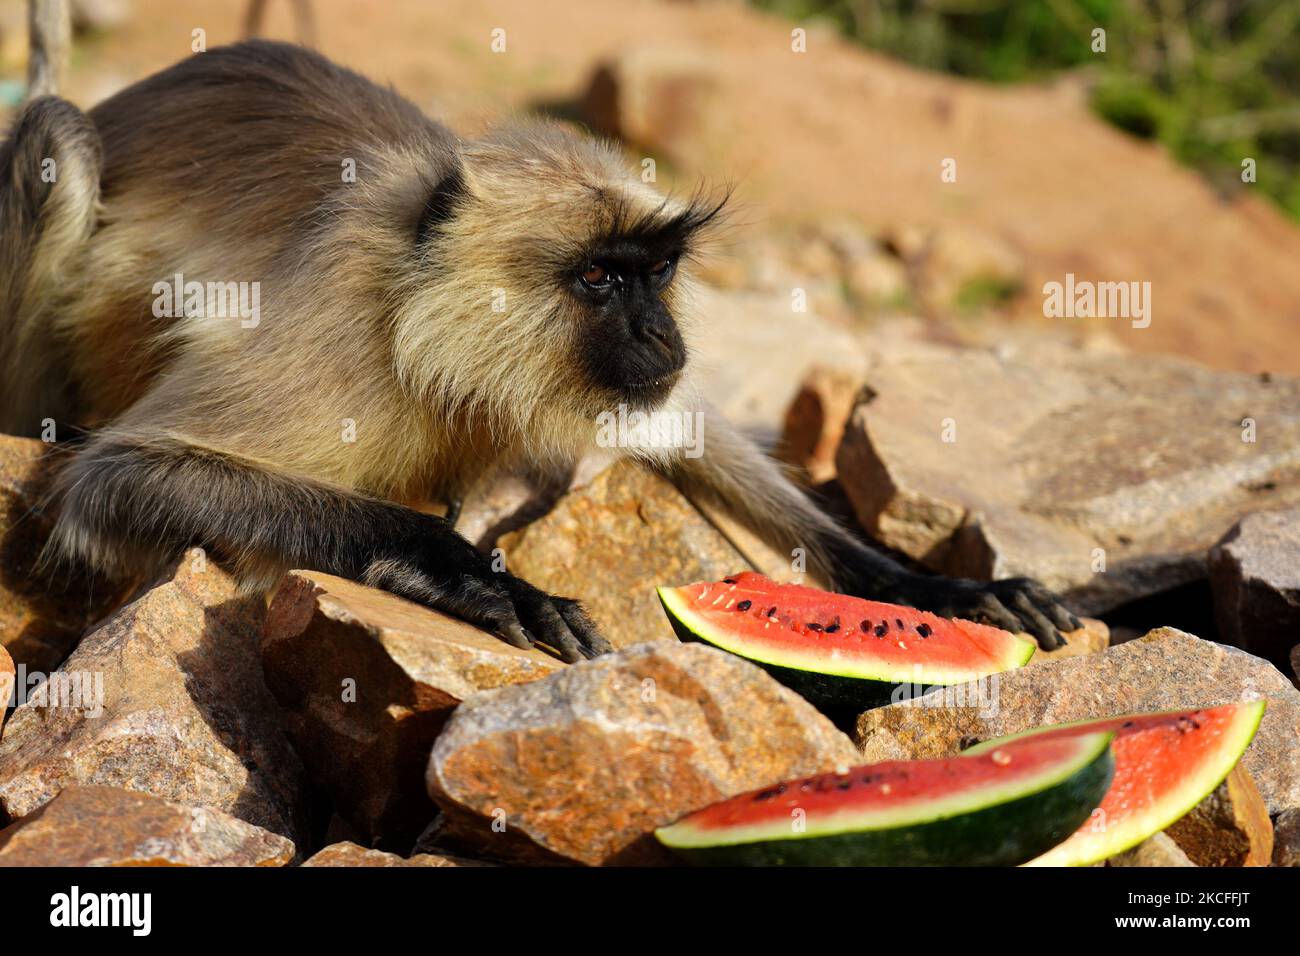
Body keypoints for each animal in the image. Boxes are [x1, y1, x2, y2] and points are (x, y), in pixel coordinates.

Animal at [0, 39, 1076, 665]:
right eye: (598, 280)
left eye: (655, 272)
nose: (661, 333)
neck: (426, 319)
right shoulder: (339, 337)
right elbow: (116, 475)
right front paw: (476, 577)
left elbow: (692, 428)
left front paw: (939, 589)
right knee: (58, 137)